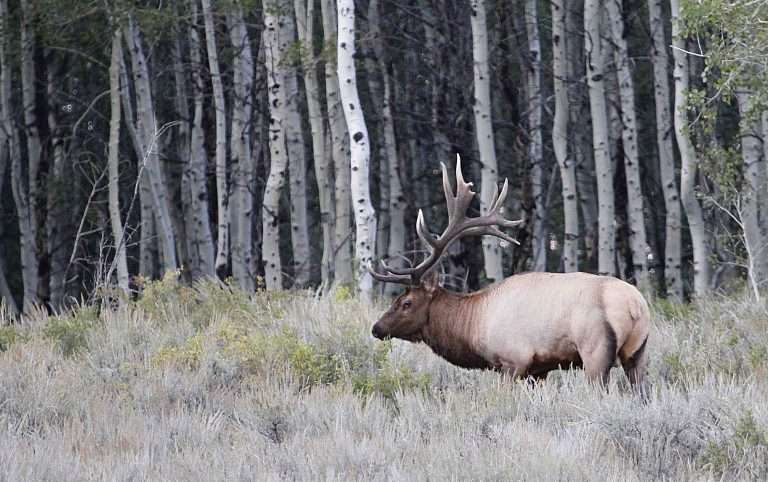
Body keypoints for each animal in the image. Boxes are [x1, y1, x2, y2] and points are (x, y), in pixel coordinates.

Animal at [369, 157, 650, 395]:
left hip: (595, 351)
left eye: (406, 303)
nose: (376, 328)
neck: (474, 325)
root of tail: (635, 306)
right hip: (638, 353)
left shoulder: (512, 361)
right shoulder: (539, 370)